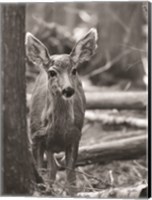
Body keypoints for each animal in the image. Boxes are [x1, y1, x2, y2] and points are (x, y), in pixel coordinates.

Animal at [25, 28, 97, 195]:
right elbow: (40, 170)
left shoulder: (75, 136)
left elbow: (71, 179)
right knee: (52, 168)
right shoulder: (35, 136)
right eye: (52, 72)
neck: (58, 131)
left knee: (55, 167)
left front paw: (72, 193)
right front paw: (41, 191)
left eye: (74, 70)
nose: (68, 89)